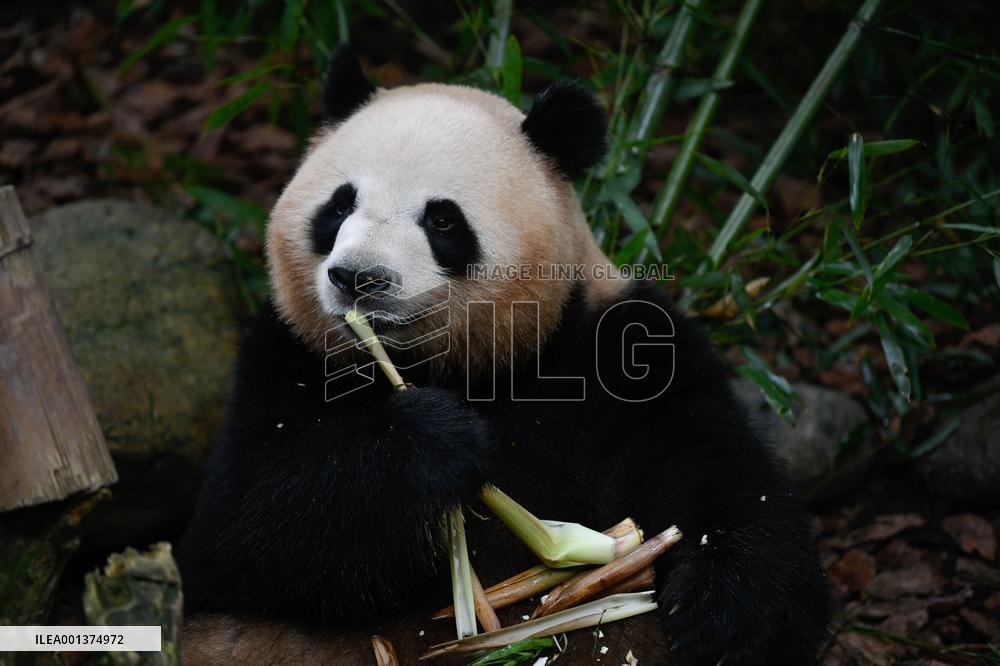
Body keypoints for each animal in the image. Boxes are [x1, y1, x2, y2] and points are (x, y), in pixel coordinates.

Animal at [176, 46, 831, 665]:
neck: (458, 369)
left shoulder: (620, 349)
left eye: (442, 221)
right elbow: (243, 530)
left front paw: (726, 616)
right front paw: (434, 439)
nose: (359, 278)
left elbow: (718, 470)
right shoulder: (288, 355)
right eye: (338, 206)